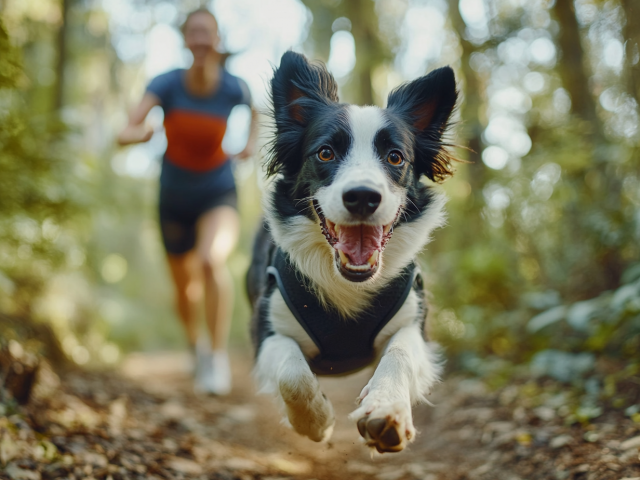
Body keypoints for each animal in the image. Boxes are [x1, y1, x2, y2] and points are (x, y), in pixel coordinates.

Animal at [246, 50, 460, 452]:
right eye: (325, 153)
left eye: (395, 158)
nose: (362, 196)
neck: (347, 282)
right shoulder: (265, 328)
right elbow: (292, 373)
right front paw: (316, 421)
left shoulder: (414, 320)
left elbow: (400, 354)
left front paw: (387, 410)